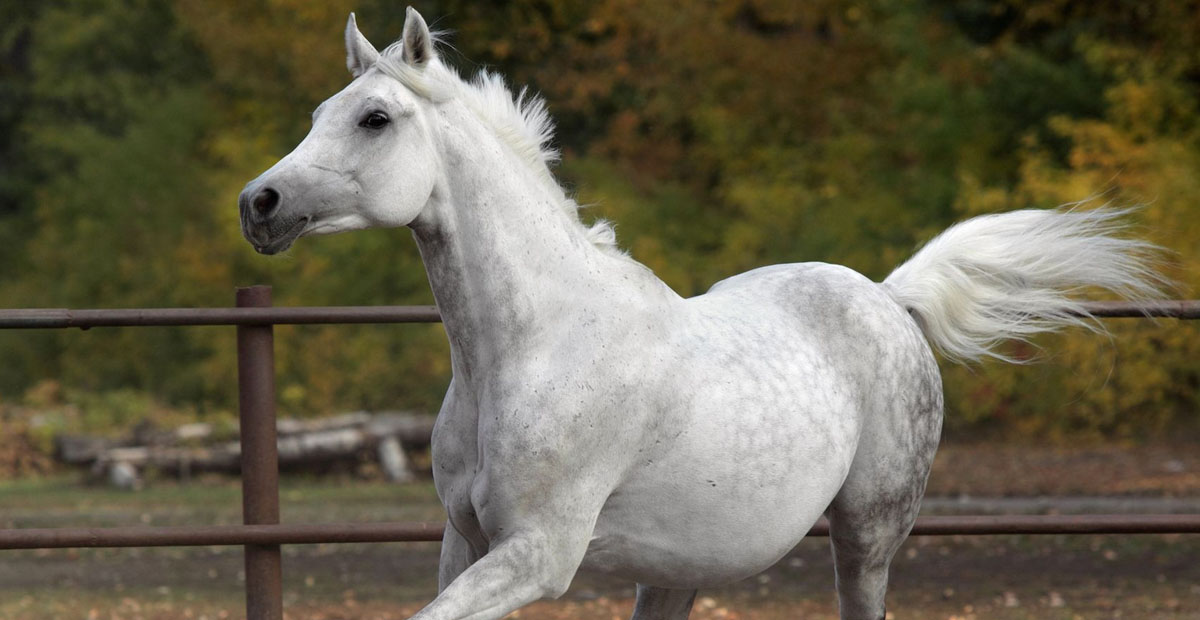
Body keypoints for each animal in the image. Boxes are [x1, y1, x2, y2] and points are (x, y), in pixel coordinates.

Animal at [238, 7, 1166, 614]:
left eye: (375, 117)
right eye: (320, 114)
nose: (259, 204)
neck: (528, 350)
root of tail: (886, 296)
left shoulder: (538, 555)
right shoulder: (460, 541)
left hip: (869, 535)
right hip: (679, 568)